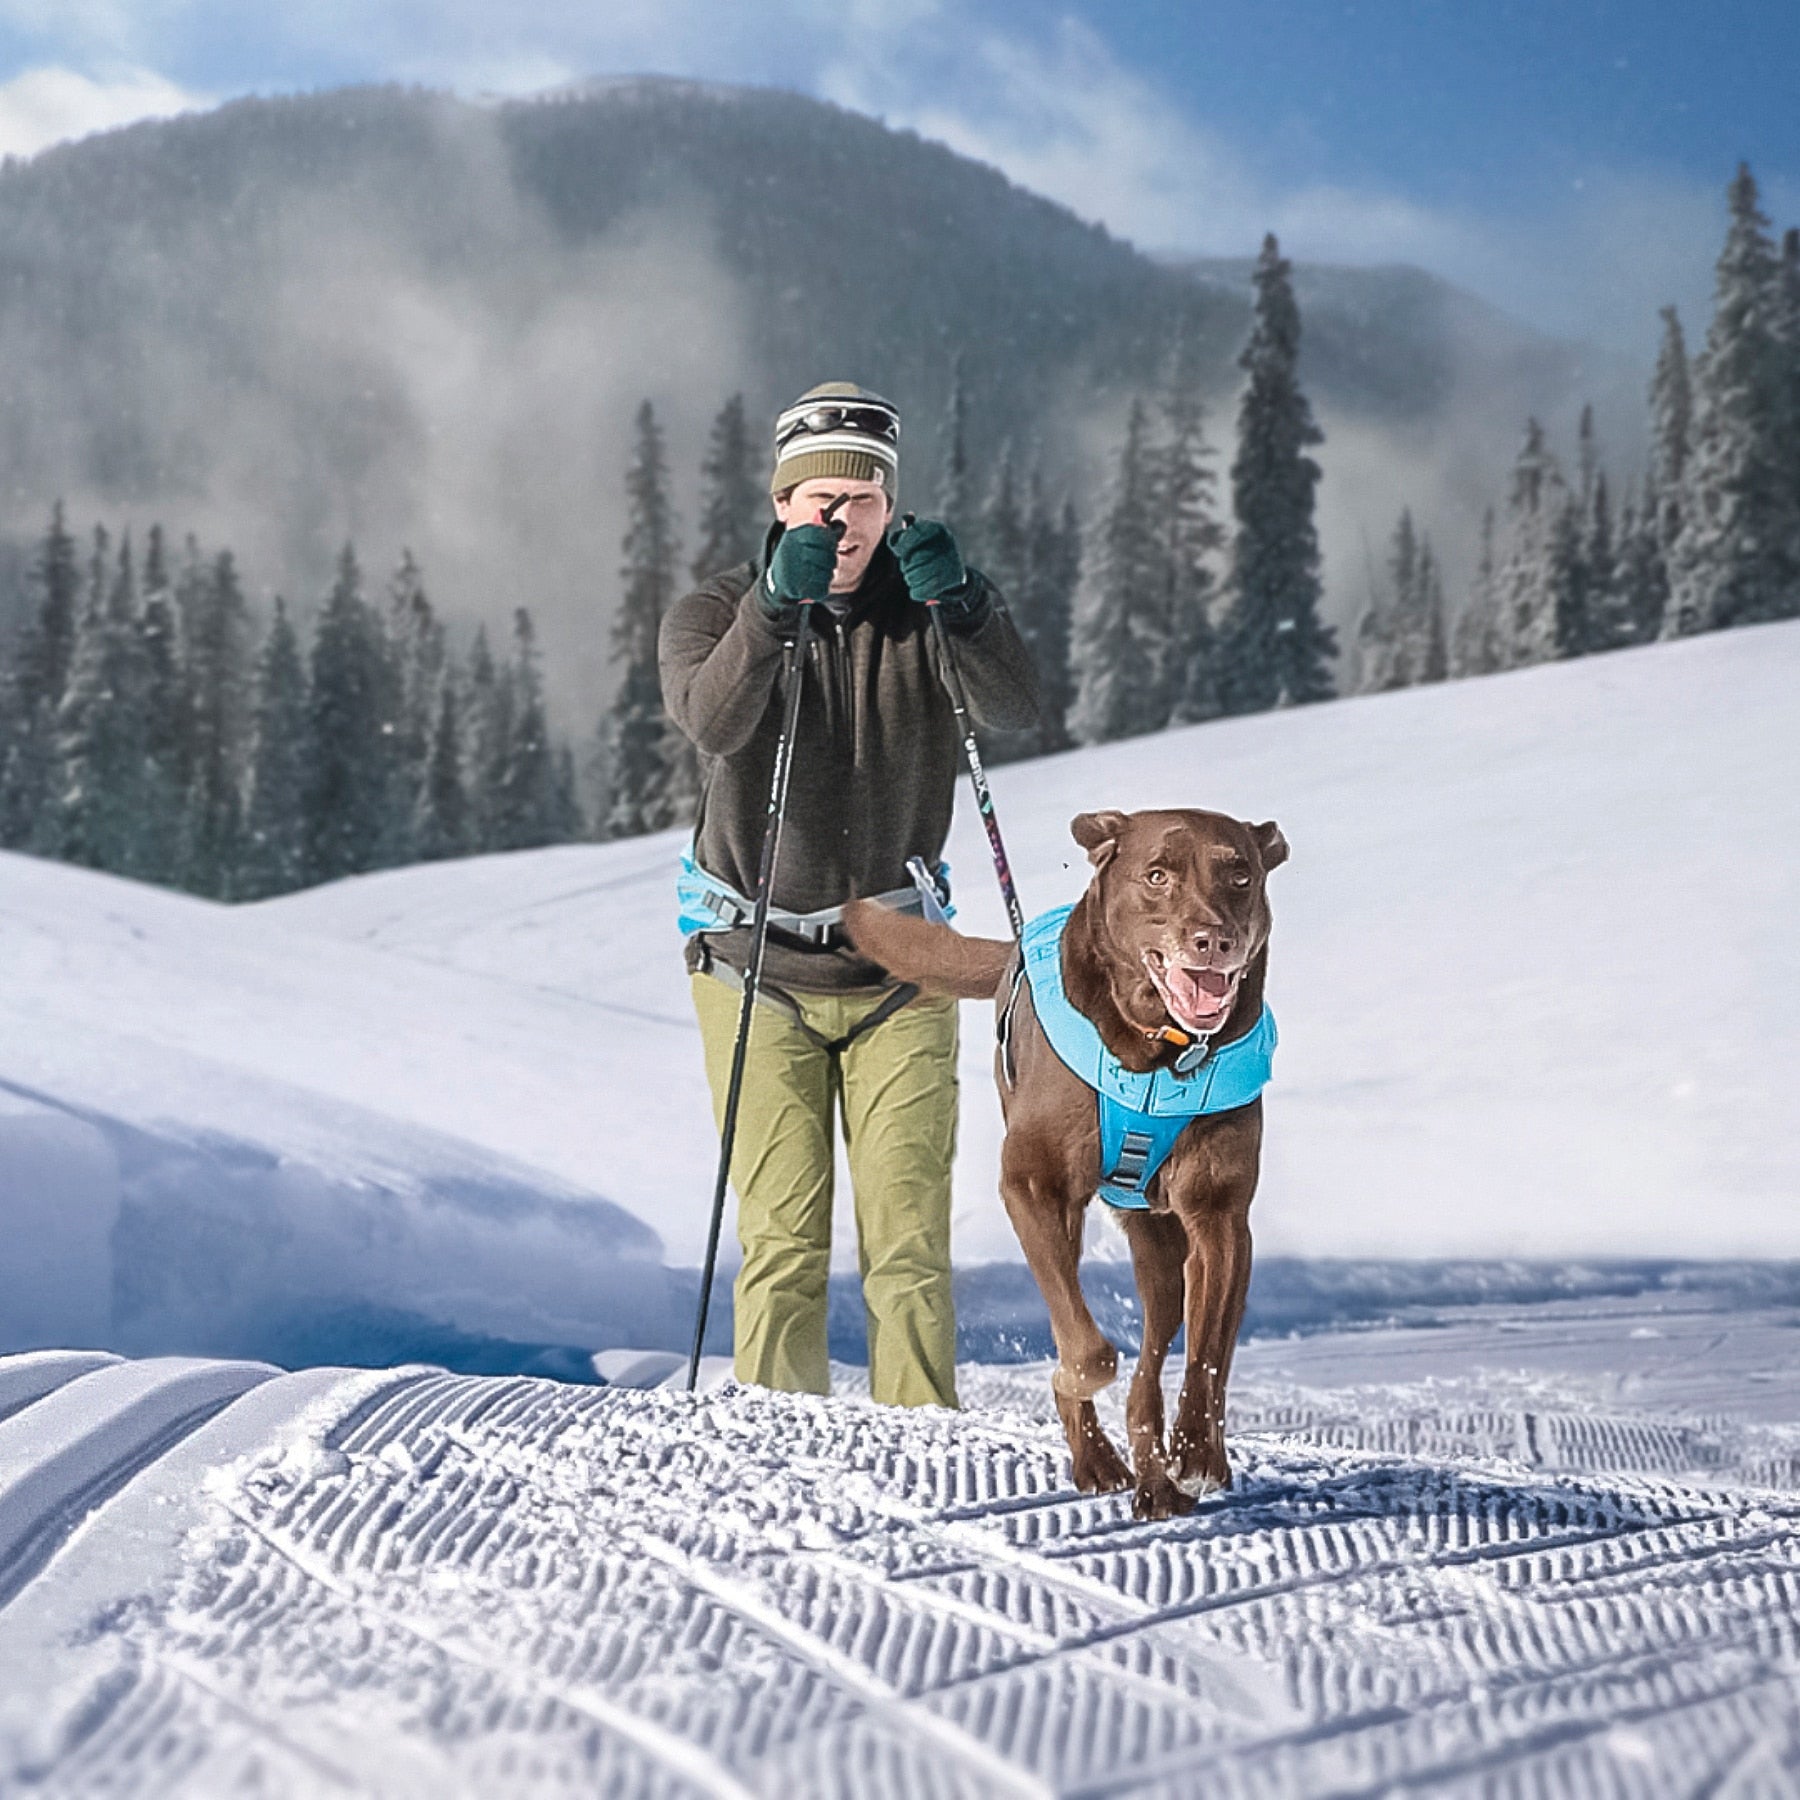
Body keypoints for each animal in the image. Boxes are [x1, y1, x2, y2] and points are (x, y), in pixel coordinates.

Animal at [849, 810, 1288, 1512]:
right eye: (1156, 875)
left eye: (1240, 874)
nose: (1213, 941)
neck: (1158, 1053)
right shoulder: (1031, 1186)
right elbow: (1084, 1351)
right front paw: (1071, 1384)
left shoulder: (1219, 1217)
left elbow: (1209, 1352)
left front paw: (1198, 1453)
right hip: (1081, 1223)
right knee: (1093, 1336)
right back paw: (1100, 1460)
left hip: (1160, 1245)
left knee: (1153, 1358)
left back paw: (1157, 1477)